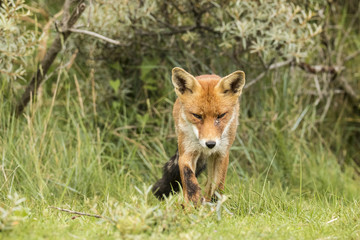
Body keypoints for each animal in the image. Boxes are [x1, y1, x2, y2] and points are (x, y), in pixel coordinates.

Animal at [152, 67, 245, 204]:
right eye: (197, 116)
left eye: (221, 115)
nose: (210, 144)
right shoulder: (186, 153)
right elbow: (189, 180)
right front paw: (193, 203)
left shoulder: (222, 154)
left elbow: (217, 186)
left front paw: (214, 204)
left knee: (210, 184)